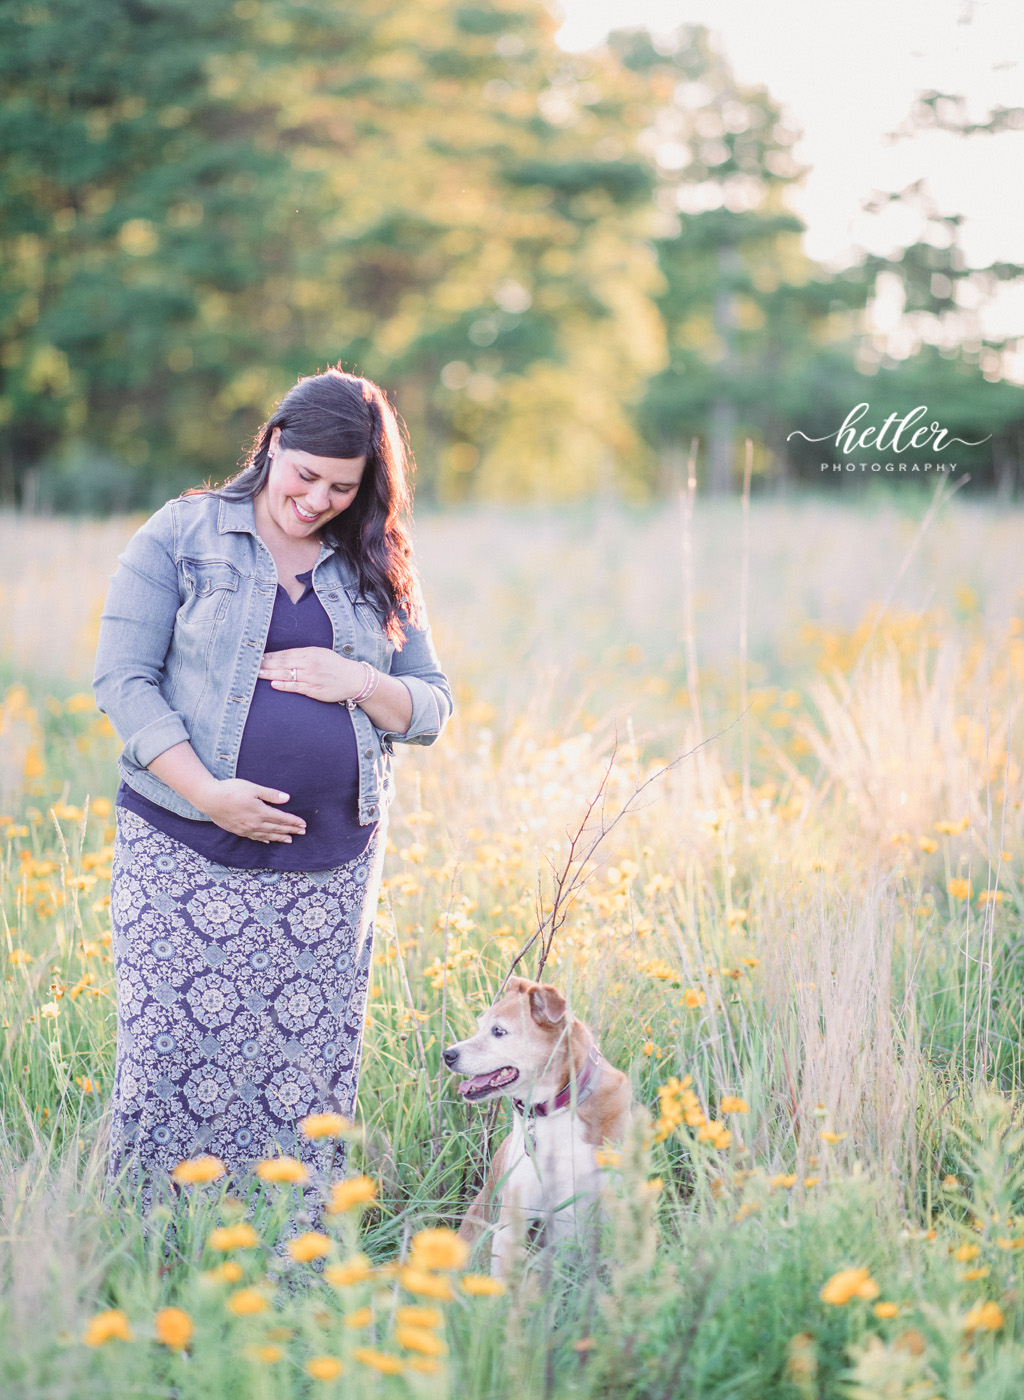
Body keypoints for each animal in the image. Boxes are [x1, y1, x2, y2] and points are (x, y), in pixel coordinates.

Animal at [439, 980, 633, 1276]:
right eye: (480, 1026)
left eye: (498, 1031)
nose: (447, 1054)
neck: (555, 1110)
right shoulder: (513, 1221)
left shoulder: (615, 1211)